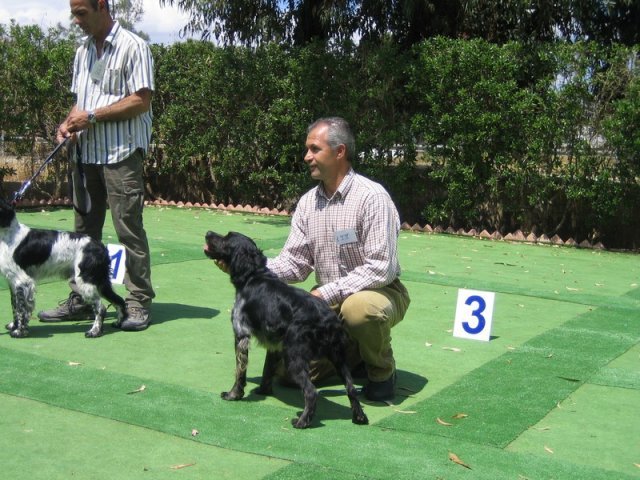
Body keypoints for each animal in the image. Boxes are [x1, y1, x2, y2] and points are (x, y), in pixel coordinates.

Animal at [0, 196, 127, 338]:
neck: (8, 234)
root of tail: (99, 246)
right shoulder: (13, 282)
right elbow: (15, 306)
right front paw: (13, 325)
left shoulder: (23, 281)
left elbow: (21, 308)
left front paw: (19, 331)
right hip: (101, 281)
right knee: (119, 301)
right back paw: (118, 323)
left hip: (85, 281)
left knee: (101, 308)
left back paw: (94, 331)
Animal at [202, 231, 368, 430]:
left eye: (227, 238)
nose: (208, 233)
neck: (253, 275)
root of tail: (329, 321)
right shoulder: (274, 344)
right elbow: (267, 369)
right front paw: (263, 390)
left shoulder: (241, 334)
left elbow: (240, 372)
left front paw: (233, 395)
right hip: (338, 358)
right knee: (351, 388)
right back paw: (359, 417)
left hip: (294, 358)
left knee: (311, 391)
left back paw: (302, 421)